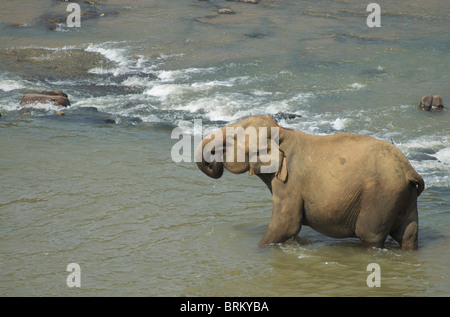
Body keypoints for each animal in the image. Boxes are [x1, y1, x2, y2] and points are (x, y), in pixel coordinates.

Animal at [195, 114, 424, 249]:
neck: (284, 132)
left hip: (381, 196)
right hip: (404, 195)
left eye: (232, 139)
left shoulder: (290, 182)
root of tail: (409, 169)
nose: (214, 160)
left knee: (370, 235)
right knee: (409, 234)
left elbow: (285, 225)